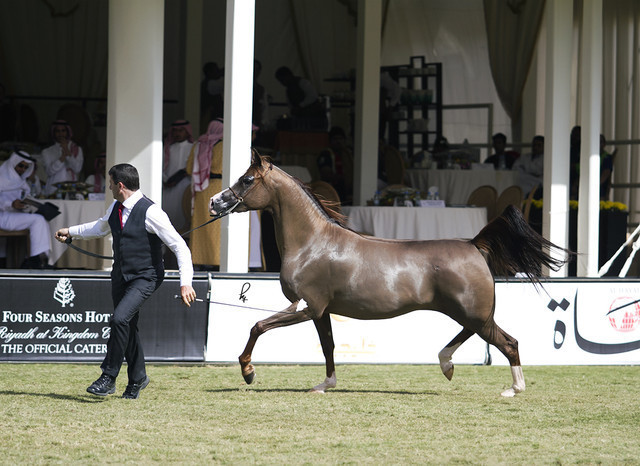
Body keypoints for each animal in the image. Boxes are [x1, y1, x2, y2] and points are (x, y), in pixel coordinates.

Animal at [209, 150, 570, 397]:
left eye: (247, 180)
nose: (214, 202)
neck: (312, 242)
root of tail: (473, 244)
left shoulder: (306, 306)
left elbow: (258, 326)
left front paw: (248, 371)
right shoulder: (320, 311)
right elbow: (328, 346)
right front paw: (325, 384)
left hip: (472, 312)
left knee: (508, 342)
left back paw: (513, 389)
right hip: (469, 312)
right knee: (478, 335)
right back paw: (447, 364)